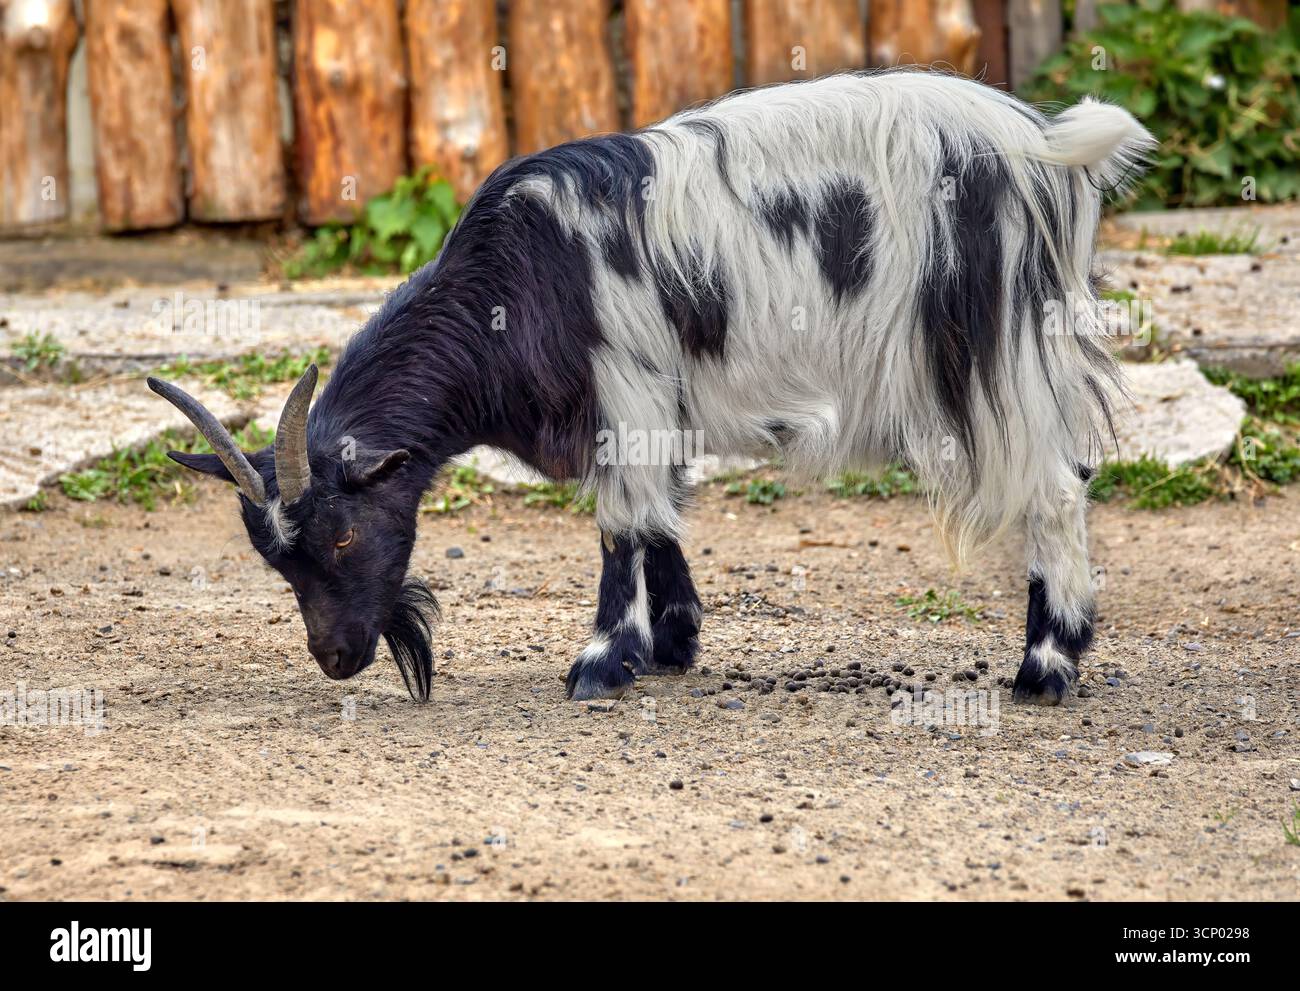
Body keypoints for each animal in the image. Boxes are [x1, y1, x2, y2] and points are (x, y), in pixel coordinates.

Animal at [150, 69, 1156, 705]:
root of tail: (1045, 150)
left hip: (991, 356)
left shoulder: (625, 392)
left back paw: (1046, 668)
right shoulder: (654, 410)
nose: (336, 657)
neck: (518, 278)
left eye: (345, 531)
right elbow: (663, 519)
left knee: (1055, 489)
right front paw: (673, 642)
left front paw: (601, 661)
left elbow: (621, 524)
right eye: (274, 560)